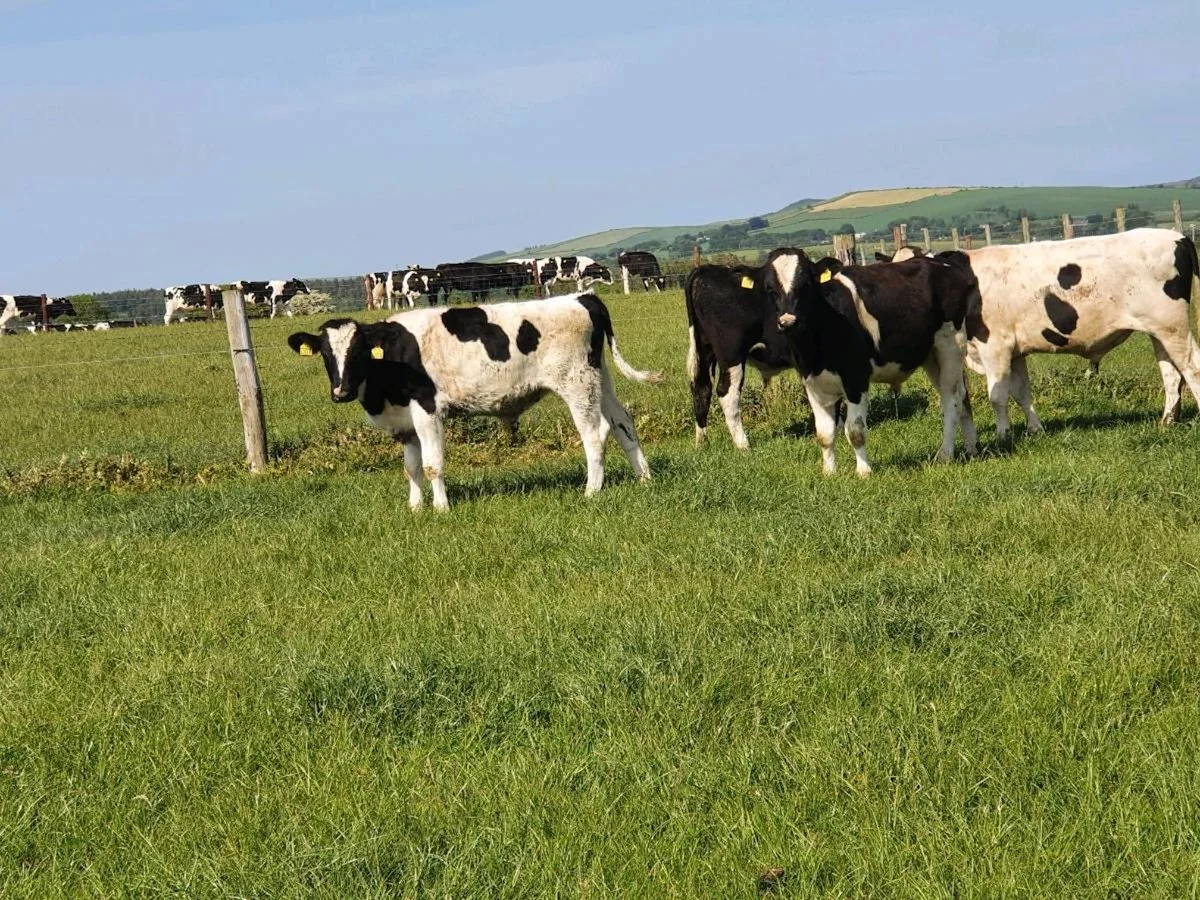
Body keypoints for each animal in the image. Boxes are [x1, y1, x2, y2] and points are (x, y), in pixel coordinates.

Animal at [287, 292, 660, 510]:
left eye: (360, 351)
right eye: (326, 354)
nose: (341, 392)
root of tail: (584, 297)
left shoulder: (427, 408)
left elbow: (431, 464)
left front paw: (441, 509)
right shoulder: (404, 422)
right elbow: (411, 468)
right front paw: (415, 508)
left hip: (576, 383)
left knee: (595, 434)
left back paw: (591, 491)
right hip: (600, 379)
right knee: (623, 423)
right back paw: (644, 479)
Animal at [685, 261, 830, 448]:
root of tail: (706, 269)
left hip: (704, 349)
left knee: (702, 389)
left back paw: (702, 442)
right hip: (731, 354)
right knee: (727, 393)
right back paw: (742, 444)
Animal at [766, 248, 978, 475]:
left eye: (806, 284)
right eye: (770, 289)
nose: (788, 322)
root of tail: (941, 263)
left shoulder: (856, 378)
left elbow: (855, 430)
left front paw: (863, 472)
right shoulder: (812, 384)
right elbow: (824, 434)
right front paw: (829, 472)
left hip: (951, 346)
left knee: (951, 400)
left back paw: (945, 455)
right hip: (931, 356)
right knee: (962, 395)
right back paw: (971, 448)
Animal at [938, 228, 1200, 440]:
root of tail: (1179, 236)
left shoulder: (995, 346)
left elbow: (998, 395)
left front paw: (1003, 436)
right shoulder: (1016, 352)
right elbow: (1021, 393)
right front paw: (1035, 430)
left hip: (1172, 326)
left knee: (1192, 368)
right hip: (1160, 331)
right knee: (1172, 374)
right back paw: (1167, 422)